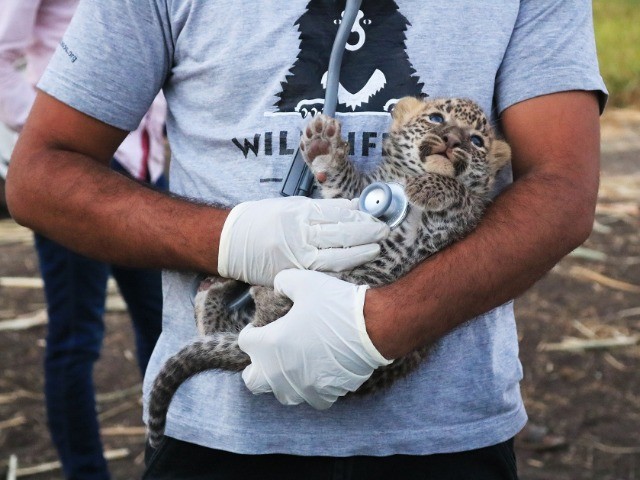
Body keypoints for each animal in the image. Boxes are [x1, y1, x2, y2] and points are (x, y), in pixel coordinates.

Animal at [146, 96, 511, 447]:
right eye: (436, 118)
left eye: (476, 140)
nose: (453, 140)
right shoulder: (351, 200)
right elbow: (341, 184)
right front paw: (323, 148)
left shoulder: (445, 229)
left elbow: (463, 195)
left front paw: (431, 187)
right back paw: (220, 289)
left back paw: (242, 293)